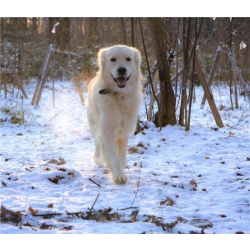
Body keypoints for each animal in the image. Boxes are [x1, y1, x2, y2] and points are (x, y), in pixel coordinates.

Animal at [86, 45, 143, 184]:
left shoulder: (124, 131)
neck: (119, 95)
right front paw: (118, 176)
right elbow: (113, 155)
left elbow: (121, 155)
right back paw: (98, 159)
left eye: (128, 59)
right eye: (113, 59)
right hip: (94, 124)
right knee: (98, 143)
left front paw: (120, 169)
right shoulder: (107, 130)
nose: (122, 69)